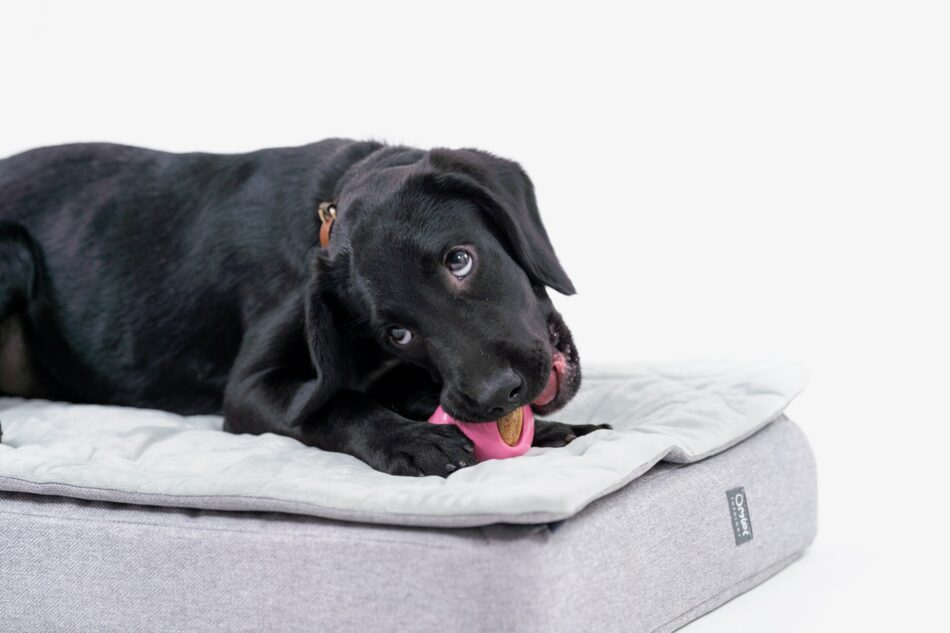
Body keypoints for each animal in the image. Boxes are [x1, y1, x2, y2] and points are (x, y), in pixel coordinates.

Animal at [0, 139, 608, 474]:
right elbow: (334, 403)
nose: (496, 397)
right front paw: (409, 441)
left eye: (459, 260)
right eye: (397, 333)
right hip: (14, 252)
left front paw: (553, 431)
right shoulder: (249, 390)